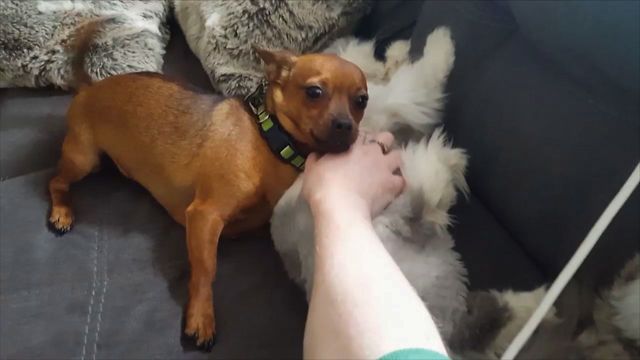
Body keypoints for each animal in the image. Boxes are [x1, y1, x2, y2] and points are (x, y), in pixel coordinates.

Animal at [49, 26, 368, 350]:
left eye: (361, 101)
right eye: (314, 92)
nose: (346, 126)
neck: (270, 142)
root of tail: (88, 87)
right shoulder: (205, 214)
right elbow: (206, 269)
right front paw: (201, 317)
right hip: (83, 158)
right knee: (55, 181)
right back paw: (61, 211)